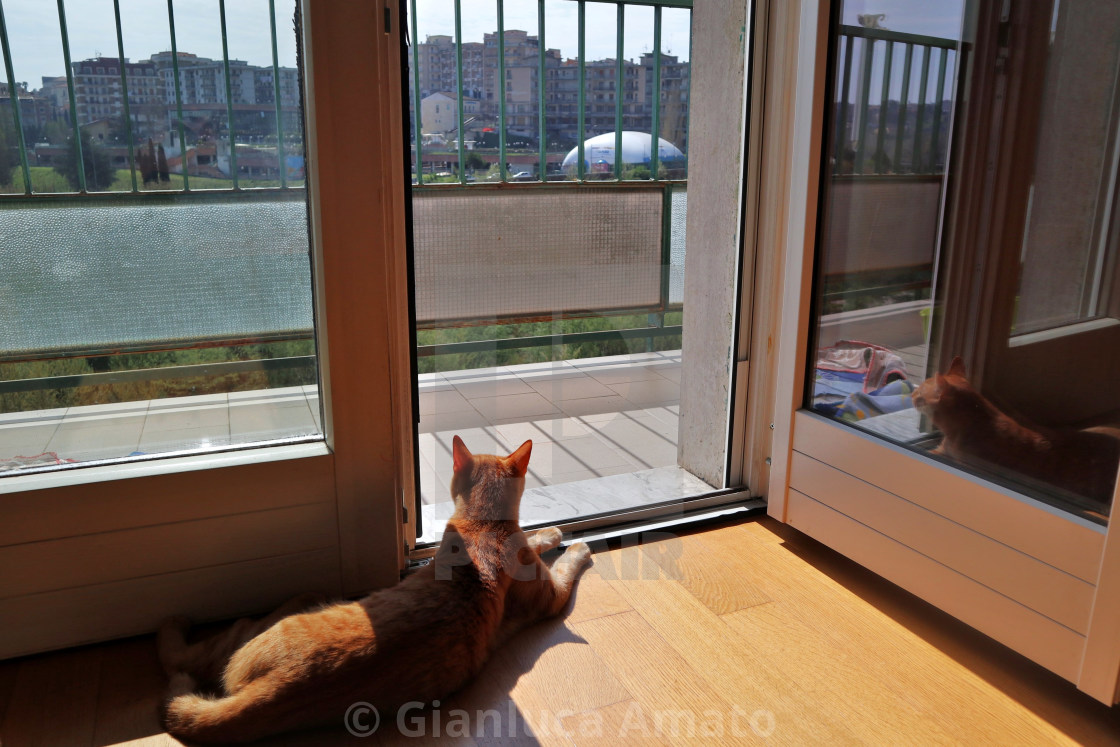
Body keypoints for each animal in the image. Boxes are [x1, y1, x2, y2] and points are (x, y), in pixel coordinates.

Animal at [162, 434, 595, 743]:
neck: (483, 526)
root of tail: (277, 688)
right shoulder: (548, 592)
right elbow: (552, 552)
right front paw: (566, 538)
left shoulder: (549, 596)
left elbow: (554, 555)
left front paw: (565, 539)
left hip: (256, 632)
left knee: (199, 649)